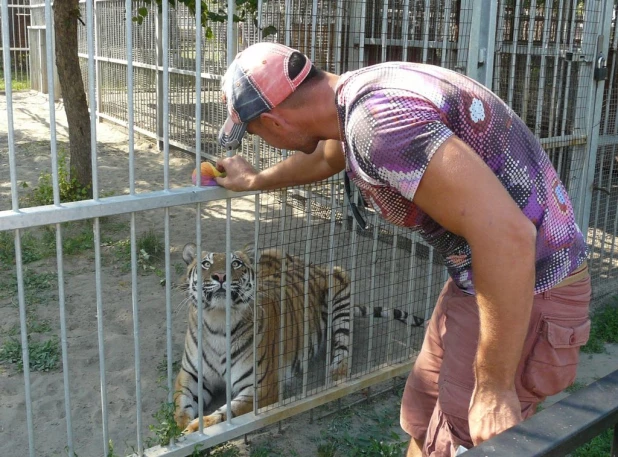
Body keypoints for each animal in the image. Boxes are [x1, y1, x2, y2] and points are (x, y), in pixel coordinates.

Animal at [173, 242, 424, 432]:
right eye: (206, 264)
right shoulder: (191, 374)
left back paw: (337, 377)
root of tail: (310, 264)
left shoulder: (261, 387)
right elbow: (181, 402)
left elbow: (226, 414)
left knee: (343, 348)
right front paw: (180, 428)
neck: (218, 321)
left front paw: (196, 428)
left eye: (236, 264)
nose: (220, 276)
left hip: (340, 281)